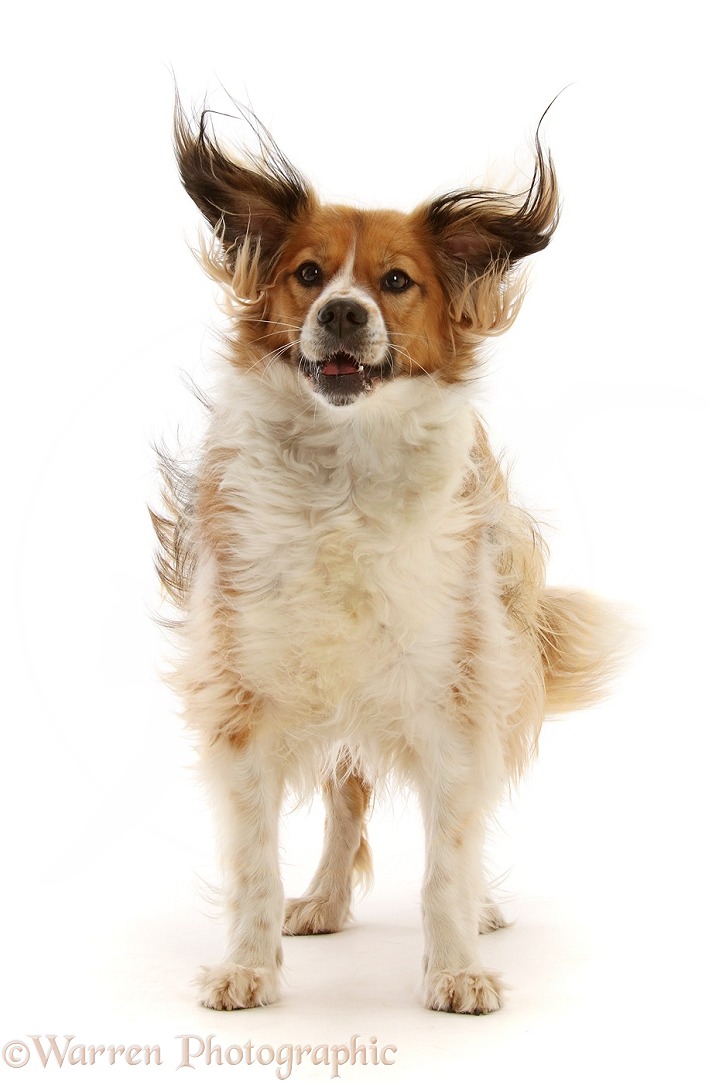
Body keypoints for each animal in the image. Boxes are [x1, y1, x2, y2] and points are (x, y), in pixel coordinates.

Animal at [150, 101, 624, 1013]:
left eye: (396, 282)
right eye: (308, 274)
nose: (343, 312)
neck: (345, 470)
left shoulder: (453, 691)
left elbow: (448, 857)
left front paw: (457, 964)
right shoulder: (244, 694)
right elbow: (254, 862)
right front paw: (249, 965)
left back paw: (482, 909)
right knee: (346, 795)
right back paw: (326, 900)